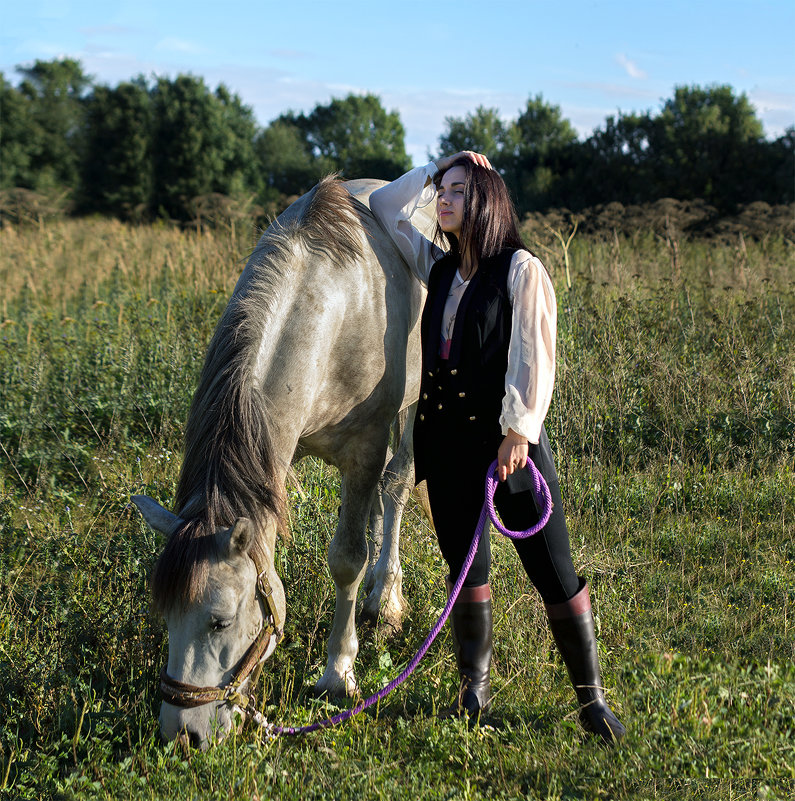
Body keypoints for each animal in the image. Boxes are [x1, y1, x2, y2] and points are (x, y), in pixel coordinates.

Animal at [134, 175, 438, 744]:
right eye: (164, 615)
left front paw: (338, 672)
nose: (181, 736)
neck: (331, 309)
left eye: (220, 620)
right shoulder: (277, 450)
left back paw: (384, 598)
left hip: (413, 410)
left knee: (397, 488)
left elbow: (347, 558)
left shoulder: (364, 449)